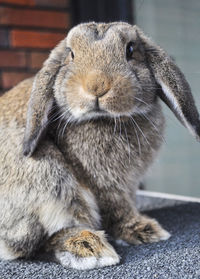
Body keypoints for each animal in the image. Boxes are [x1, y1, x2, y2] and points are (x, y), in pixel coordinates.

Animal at [0, 21, 199, 272]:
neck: (105, 118)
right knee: (34, 243)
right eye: (71, 54)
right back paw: (88, 247)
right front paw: (142, 230)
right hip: (48, 176)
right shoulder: (105, 184)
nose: (97, 86)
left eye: (130, 50)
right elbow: (117, 207)